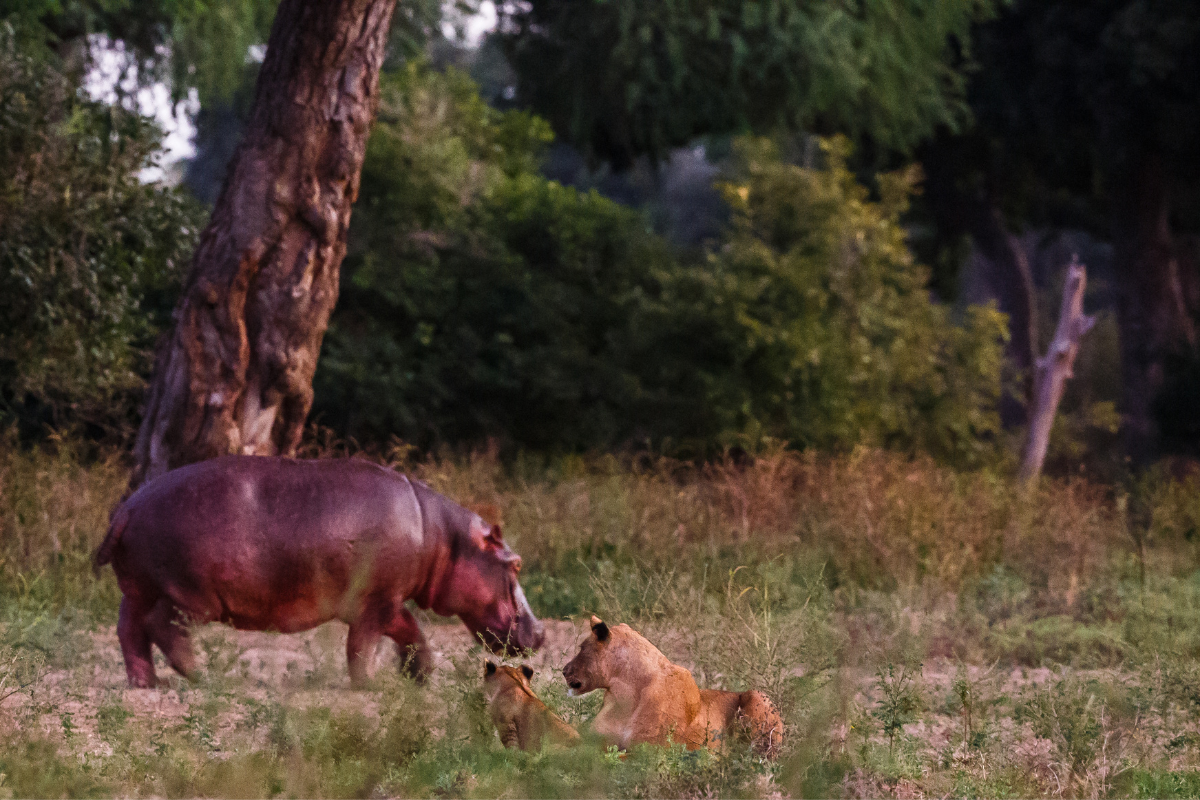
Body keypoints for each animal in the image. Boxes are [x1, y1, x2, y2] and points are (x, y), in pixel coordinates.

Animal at [93, 455, 544, 688]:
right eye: (516, 563)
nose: (541, 633)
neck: (444, 539)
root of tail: (127, 508)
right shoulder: (376, 604)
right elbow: (363, 646)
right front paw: (370, 685)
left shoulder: (388, 600)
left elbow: (412, 633)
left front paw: (420, 678)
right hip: (189, 596)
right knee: (164, 627)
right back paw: (203, 676)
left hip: (137, 587)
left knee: (129, 629)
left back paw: (146, 684)